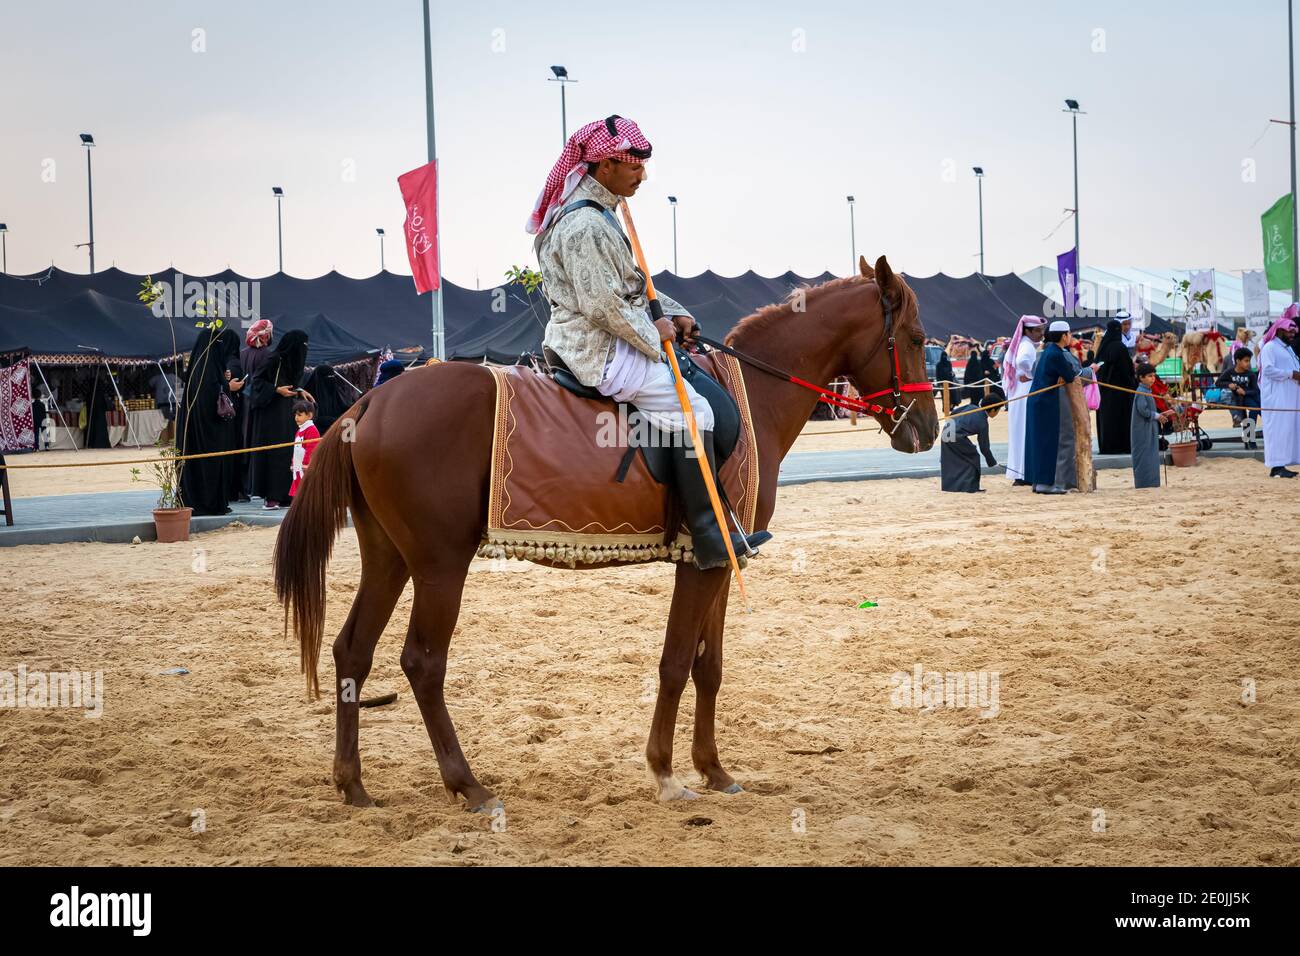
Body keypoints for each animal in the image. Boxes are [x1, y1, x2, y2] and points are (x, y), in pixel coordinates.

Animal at [274, 255, 940, 812]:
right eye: (914, 339)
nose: (928, 429)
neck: (753, 396)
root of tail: (371, 404)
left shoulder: (720, 561)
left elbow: (710, 666)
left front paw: (713, 770)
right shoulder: (701, 561)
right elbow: (676, 662)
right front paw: (665, 773)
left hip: (390, 557)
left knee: (352, 650)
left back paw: (352, 783)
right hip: (440, 565)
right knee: (422, 662)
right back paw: (467, 784)